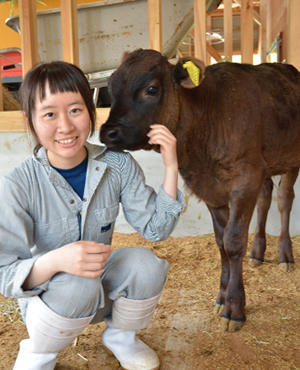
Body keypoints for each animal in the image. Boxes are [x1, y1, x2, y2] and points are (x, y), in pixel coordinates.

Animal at [99, 47, 300, 330]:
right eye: (110, 85)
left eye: (152, 89)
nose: (108, 132)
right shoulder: (210, 189)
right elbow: (221, 242)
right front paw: (222, 297)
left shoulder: (245, 180)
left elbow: (233, 241)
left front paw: (234, 307)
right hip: (265, 166)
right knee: (266, 197)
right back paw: (258, 252)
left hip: (291, 158)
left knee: (284, 199)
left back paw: (285, 256)